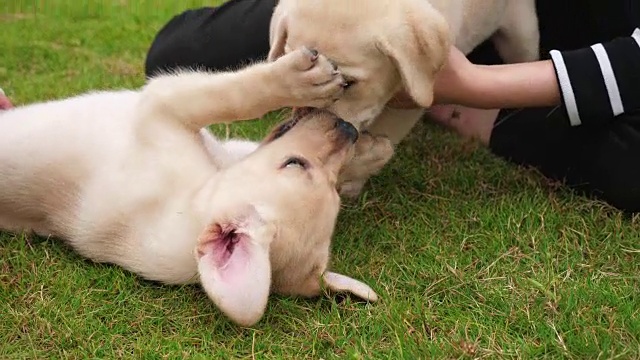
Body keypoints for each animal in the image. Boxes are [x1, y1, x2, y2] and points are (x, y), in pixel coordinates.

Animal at [0, 47, 380, 326]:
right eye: (296, 164)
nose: (348, 128)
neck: (195, 198)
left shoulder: (166, 108)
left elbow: (230, 99)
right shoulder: (168, 108)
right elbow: (234, 97)